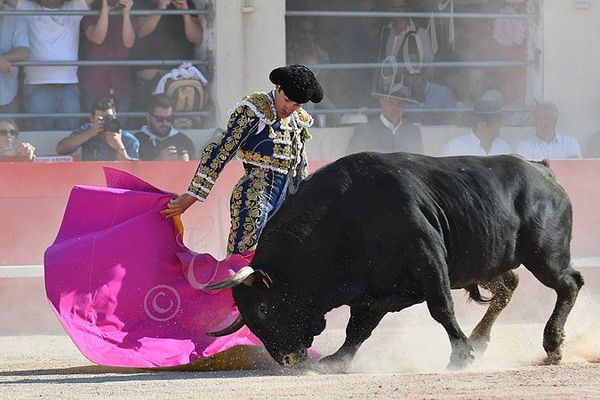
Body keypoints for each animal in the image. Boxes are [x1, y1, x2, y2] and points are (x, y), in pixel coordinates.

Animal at [205, 152, 580, 368]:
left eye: (263, 307)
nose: (286, 359)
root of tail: (542, 171)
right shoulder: (374, 291)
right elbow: (359, 328)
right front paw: (336, 360)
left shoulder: (429, 259)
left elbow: (441, 309)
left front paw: (461, 356)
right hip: (486, 261)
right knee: (509, 285)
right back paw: (482, 339)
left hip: (544, 255)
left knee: (569, 283)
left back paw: (552, 345)